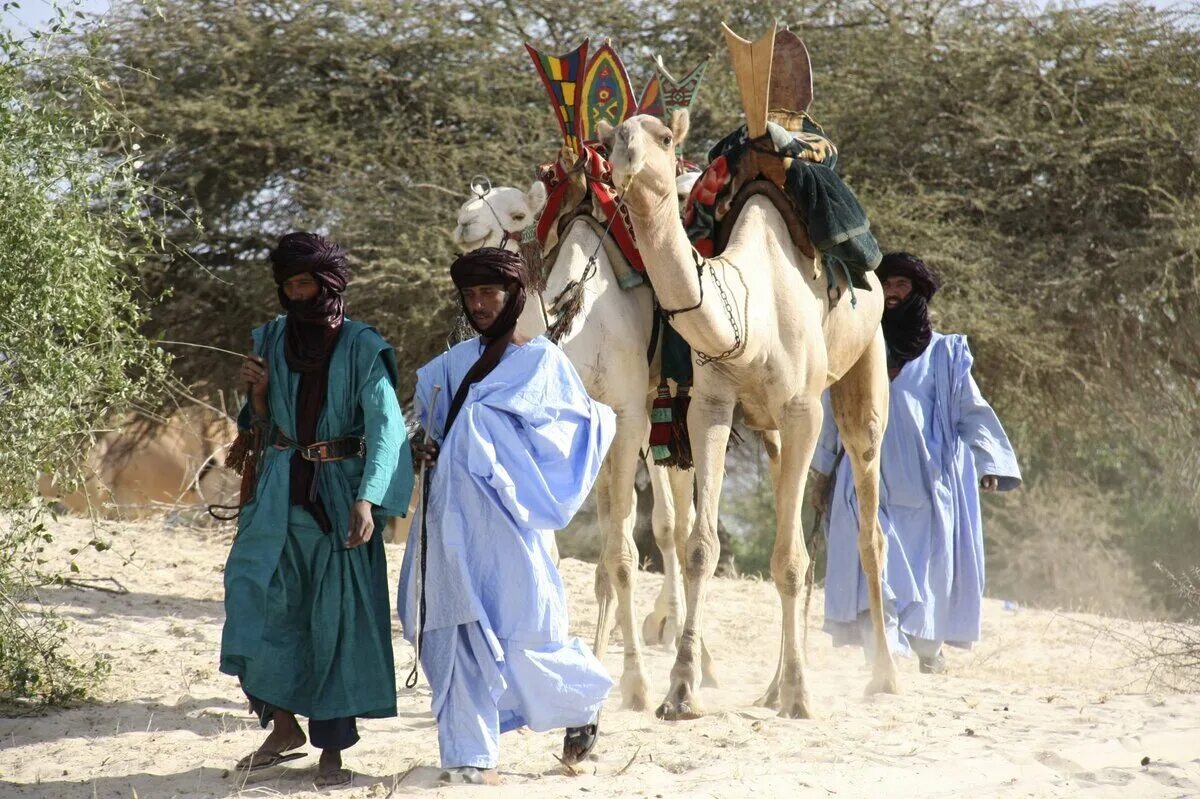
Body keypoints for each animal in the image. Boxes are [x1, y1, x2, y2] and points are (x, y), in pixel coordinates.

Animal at [453, 177, 705, 705]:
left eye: (518, 214)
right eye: (466, 208)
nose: (465, 225)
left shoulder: (627, 413)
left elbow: (624, 556)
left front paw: (636, 683)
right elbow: (560, 544)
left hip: (665, 405)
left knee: (675, 520)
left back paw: (688, 650)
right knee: (632, 519)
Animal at [604, 101, 897, 715]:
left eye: (664, 138)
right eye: (615, 137)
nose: (627, 166)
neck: (749, 309)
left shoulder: (804, 408)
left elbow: (790, 559)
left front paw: (801, 698)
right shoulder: (711, 406)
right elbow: (702, 547)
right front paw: (680, 691)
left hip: (864, 364)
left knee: (866, 522)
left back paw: (882, 677)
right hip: (768, 428)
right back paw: (771, 686)